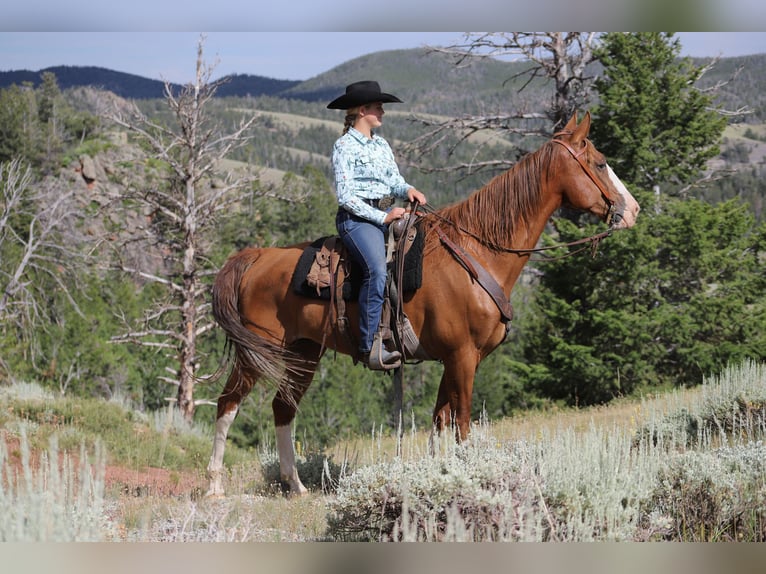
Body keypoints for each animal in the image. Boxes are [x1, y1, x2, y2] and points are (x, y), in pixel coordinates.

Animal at [206, 111, 640, 496]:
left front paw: (438, 476)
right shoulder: (462, 356)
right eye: (600, 163)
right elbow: (462, 423)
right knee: (227, 405)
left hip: (304, 352)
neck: (478, 251)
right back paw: (214, 488)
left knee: (283, 408)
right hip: (255, 354)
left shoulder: (456, 357)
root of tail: (255, 257)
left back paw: (295, 486)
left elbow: (439, 420)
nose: (632, 210)